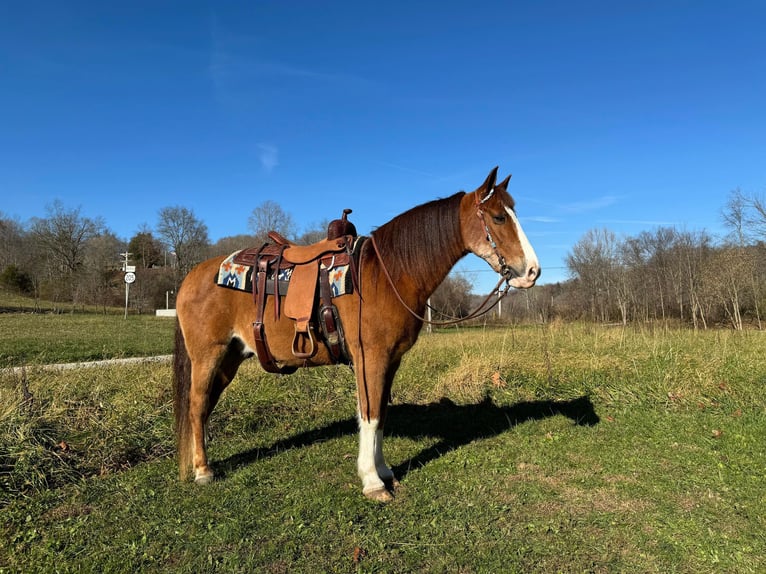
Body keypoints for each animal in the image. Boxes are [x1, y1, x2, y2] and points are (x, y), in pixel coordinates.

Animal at [176, 165, 544, 500]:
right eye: (498, 217)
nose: (532, 271)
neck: (387, 274)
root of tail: (192, 276)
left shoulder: (391, 360)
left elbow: (380, 414)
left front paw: (384, 470)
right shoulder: (371, 357)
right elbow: (370, 415)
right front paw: (372, 481)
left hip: (229, 358)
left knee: (204, 407)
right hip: (209, 355)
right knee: (196, 405)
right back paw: (203, 471)